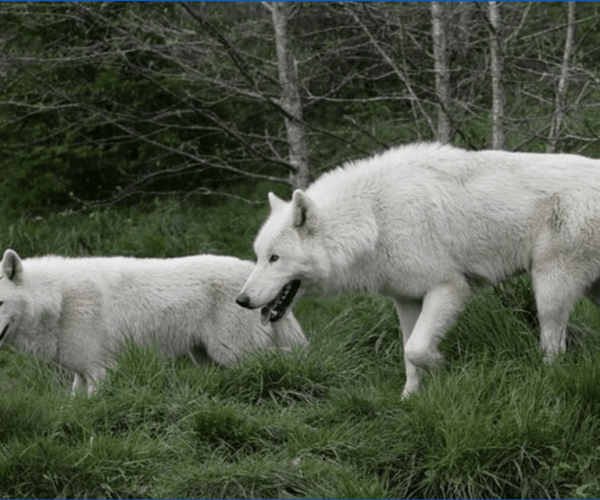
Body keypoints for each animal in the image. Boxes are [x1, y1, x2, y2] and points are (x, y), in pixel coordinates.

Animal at [0, 250, 308, 394]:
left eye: (0, 302)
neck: (59, 300)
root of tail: (250, 275)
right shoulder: (82, 372)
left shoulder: (101, 371)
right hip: (209, 359)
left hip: (234, 354)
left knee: (286, 357)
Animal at [238, 142, 600, 398]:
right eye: (258, 256)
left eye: (274, 258)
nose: (241, 300)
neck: (374, 218)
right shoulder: (407, 299)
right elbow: (409, 353)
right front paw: (410, 399)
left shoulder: (448, 287)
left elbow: (417, 349)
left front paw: (443, 365)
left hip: (549, 289)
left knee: (554, 347)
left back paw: (549, 380)